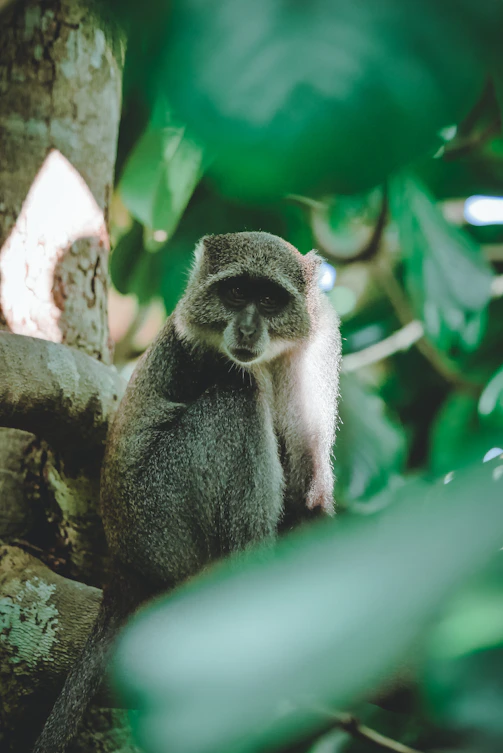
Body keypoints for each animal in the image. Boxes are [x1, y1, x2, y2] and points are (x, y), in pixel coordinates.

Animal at [33, 231, 341, 753]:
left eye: (269, 299)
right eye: (235, 293)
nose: (248, 328)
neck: (273, 357)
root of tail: (123, 565)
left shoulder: (320, 345)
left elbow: (309, 477)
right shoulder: (200, 351)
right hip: (161, 516)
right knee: (236, 398)